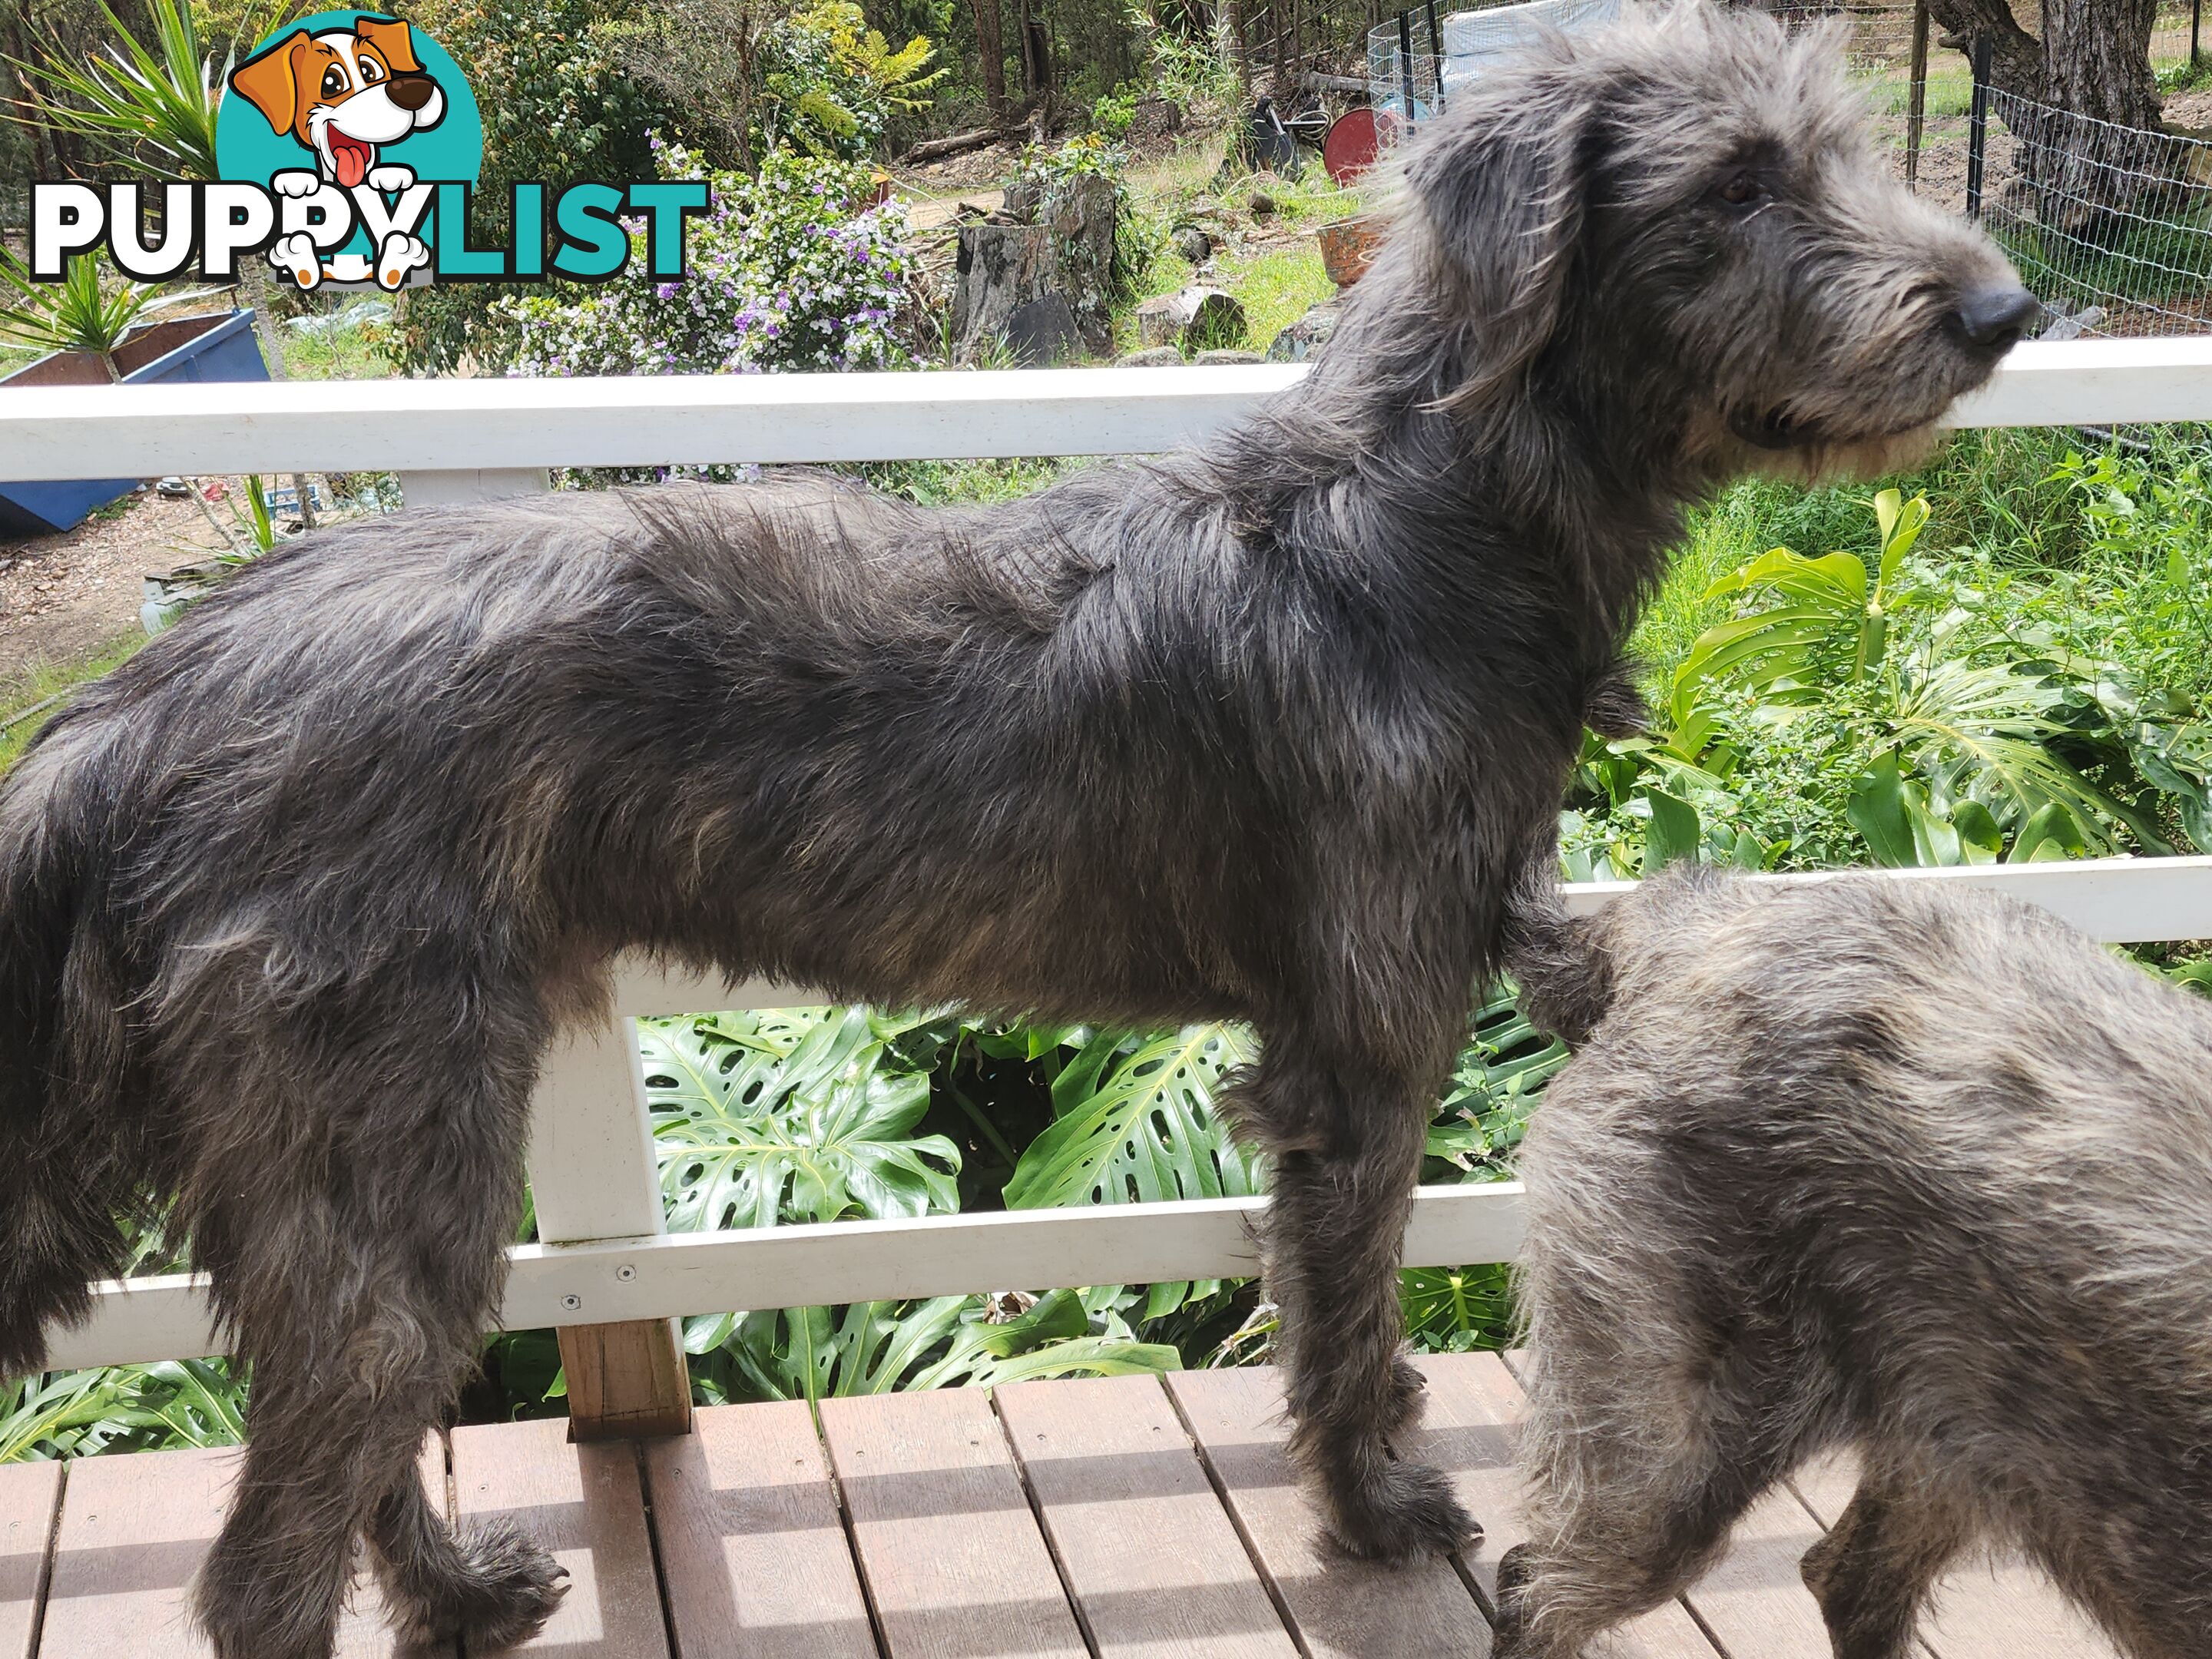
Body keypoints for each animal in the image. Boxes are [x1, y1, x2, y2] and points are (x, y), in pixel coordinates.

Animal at [4, 6, 2035, 1654]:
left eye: (1850, 144)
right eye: (1739, 183)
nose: (2003, 313)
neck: (1429, 516)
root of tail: (149, 694)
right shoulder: (1363, 1048)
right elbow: (1352, 1313)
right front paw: (1376, 1508)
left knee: (353, 1428)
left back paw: (455, 1589)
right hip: (379, 1122)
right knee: (271, 1539)